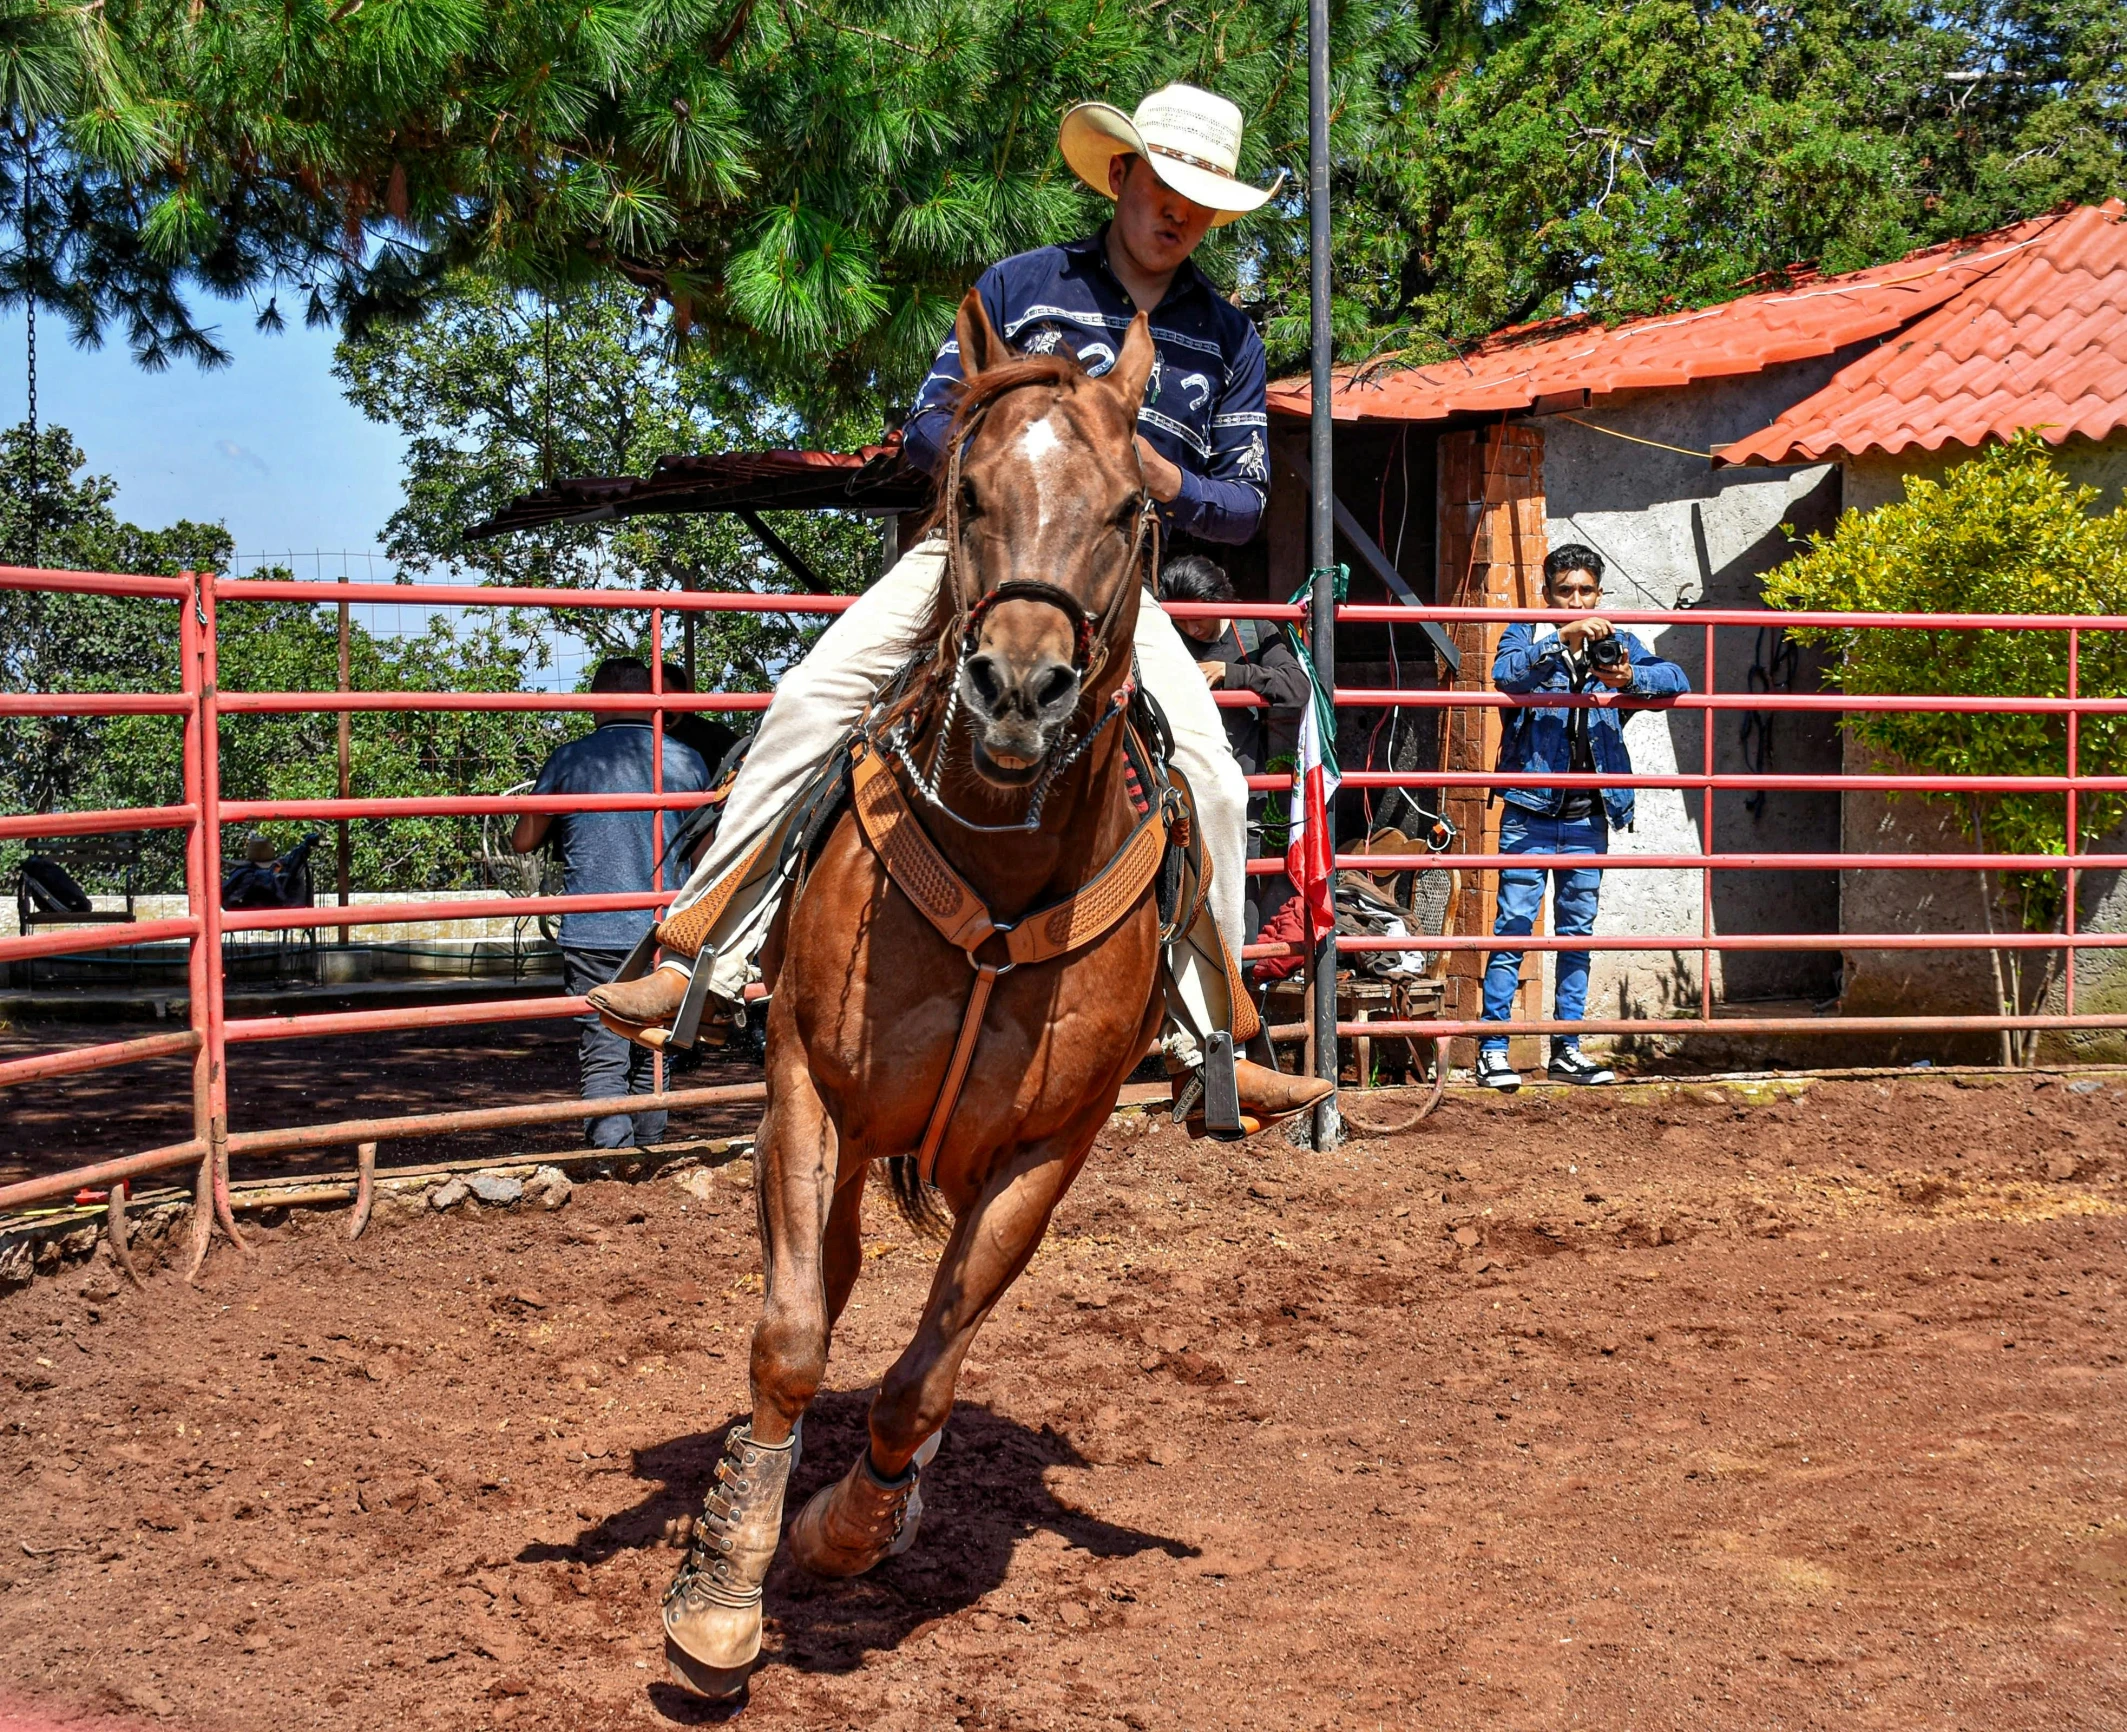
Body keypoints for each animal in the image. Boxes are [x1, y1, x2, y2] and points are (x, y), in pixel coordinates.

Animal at [655, 291, 1174, 1702]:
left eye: (1129, 507)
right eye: (970, 490)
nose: (1018, 686)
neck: (999, 868)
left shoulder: (1050, 1148)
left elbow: (924, 1377)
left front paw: (852, 1525)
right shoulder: (806, 1084)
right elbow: (789, 1336)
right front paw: (724, 1587)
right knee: (822, 1273)